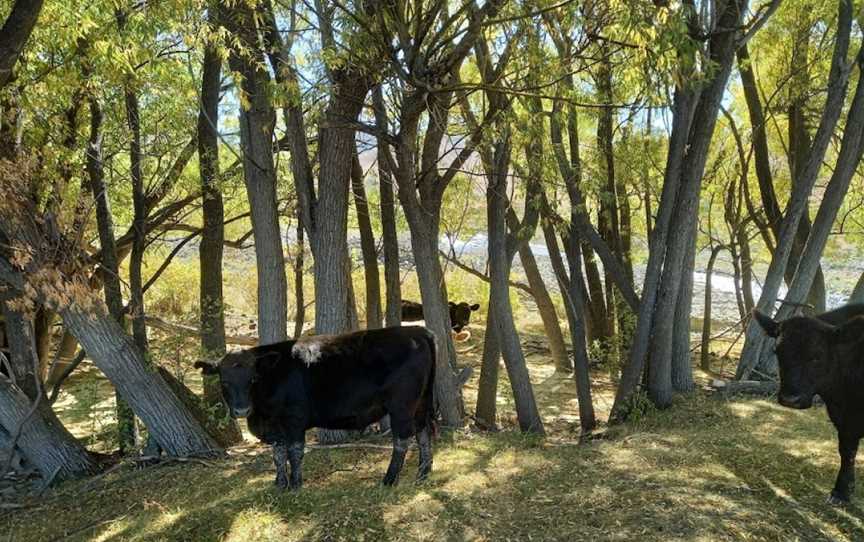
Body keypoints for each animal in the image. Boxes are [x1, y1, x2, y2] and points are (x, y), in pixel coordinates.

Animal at [197, 328, 438, 492]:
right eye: (224, 381)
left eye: (252, 379)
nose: (241, 410)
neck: (262, 415)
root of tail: (418, 331)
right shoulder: (276, 428)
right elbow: (278, 454)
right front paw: (280, 484)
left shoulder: (294, 419)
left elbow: (294, 452)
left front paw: (295, 485)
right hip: (421, 402)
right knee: (423, 432)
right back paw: (423, 473)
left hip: (402, 406)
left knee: (402, 440)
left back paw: (389, 479)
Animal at [748, 304, 864, 508]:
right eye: (777, 352)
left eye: (817, 356)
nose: (790, 399)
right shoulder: (844, 421)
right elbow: (847, 452)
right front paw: (841, 492)